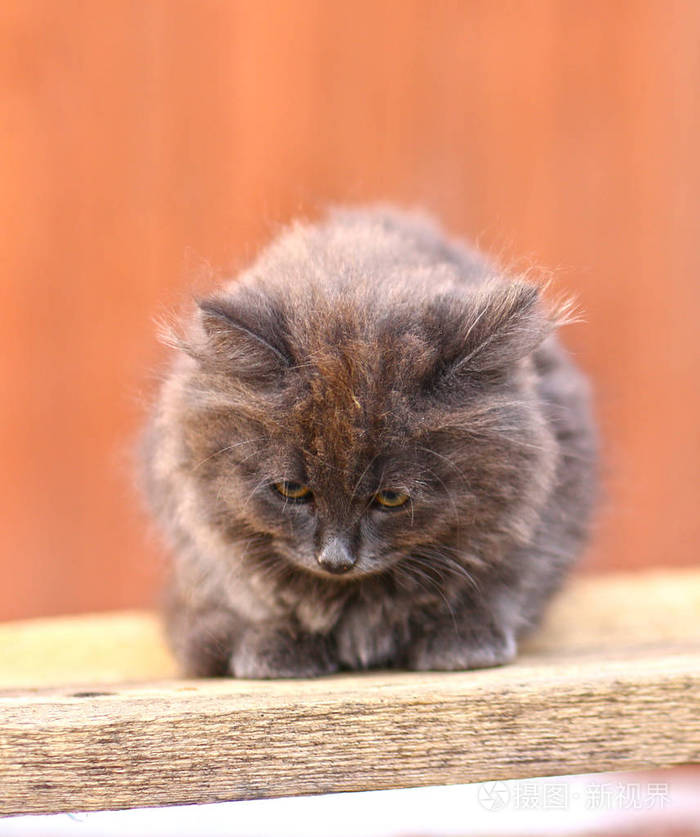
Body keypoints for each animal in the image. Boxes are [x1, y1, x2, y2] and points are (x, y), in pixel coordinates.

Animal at [141, 207, 596, 680]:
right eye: (291, 490)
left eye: (392, 498)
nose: (336, 560)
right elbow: (248, 595)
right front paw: (274, 643)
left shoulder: (546, 517)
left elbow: (503, 580)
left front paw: (462, 639)